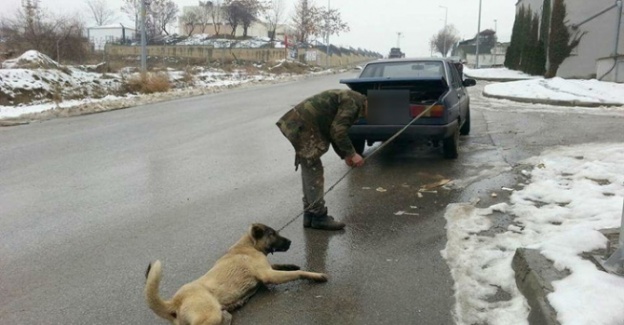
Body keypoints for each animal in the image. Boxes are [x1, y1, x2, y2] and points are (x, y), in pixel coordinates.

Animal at [144, 223, 330, 324]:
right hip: (210, 314)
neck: (249, 244)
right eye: (272, 234)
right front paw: (315, 275)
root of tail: (175, 301)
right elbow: (299, 272)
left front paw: (290, 265)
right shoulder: (268, 275)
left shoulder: (267, 269)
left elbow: (281, 265)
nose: (290, 242)